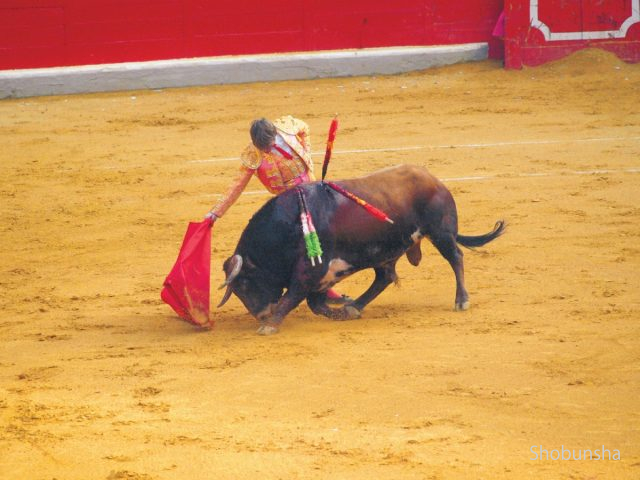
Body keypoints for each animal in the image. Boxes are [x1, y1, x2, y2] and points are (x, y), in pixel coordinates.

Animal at [220, 164, 504, 334]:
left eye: (243, 284)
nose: (261, 314)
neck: (288, 226)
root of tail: (435, 180)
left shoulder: (310, 271)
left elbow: (293, 296)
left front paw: (270, 326)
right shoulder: (323, 274)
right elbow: (314, 303)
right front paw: (343, 309)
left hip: (441, 232)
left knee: (455, 257)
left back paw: (461, 300)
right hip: (386, 252)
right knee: (385, 278)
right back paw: (355, 306)